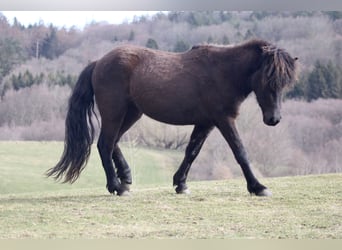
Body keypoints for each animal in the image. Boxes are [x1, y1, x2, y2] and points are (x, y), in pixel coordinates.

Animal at [46, 38, 298, 196]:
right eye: (268, 79)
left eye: (285, 83)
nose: (274, 119)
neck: (222, 71)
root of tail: (99, 62)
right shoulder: (224, 120)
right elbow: (240, 152)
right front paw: (258, 187)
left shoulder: (205, 123)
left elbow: (191, 152)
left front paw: (181, 184)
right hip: (114, 113)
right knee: (105, 144)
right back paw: (116, 186)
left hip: (131, 114)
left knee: (112, 142)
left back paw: (125, 179)